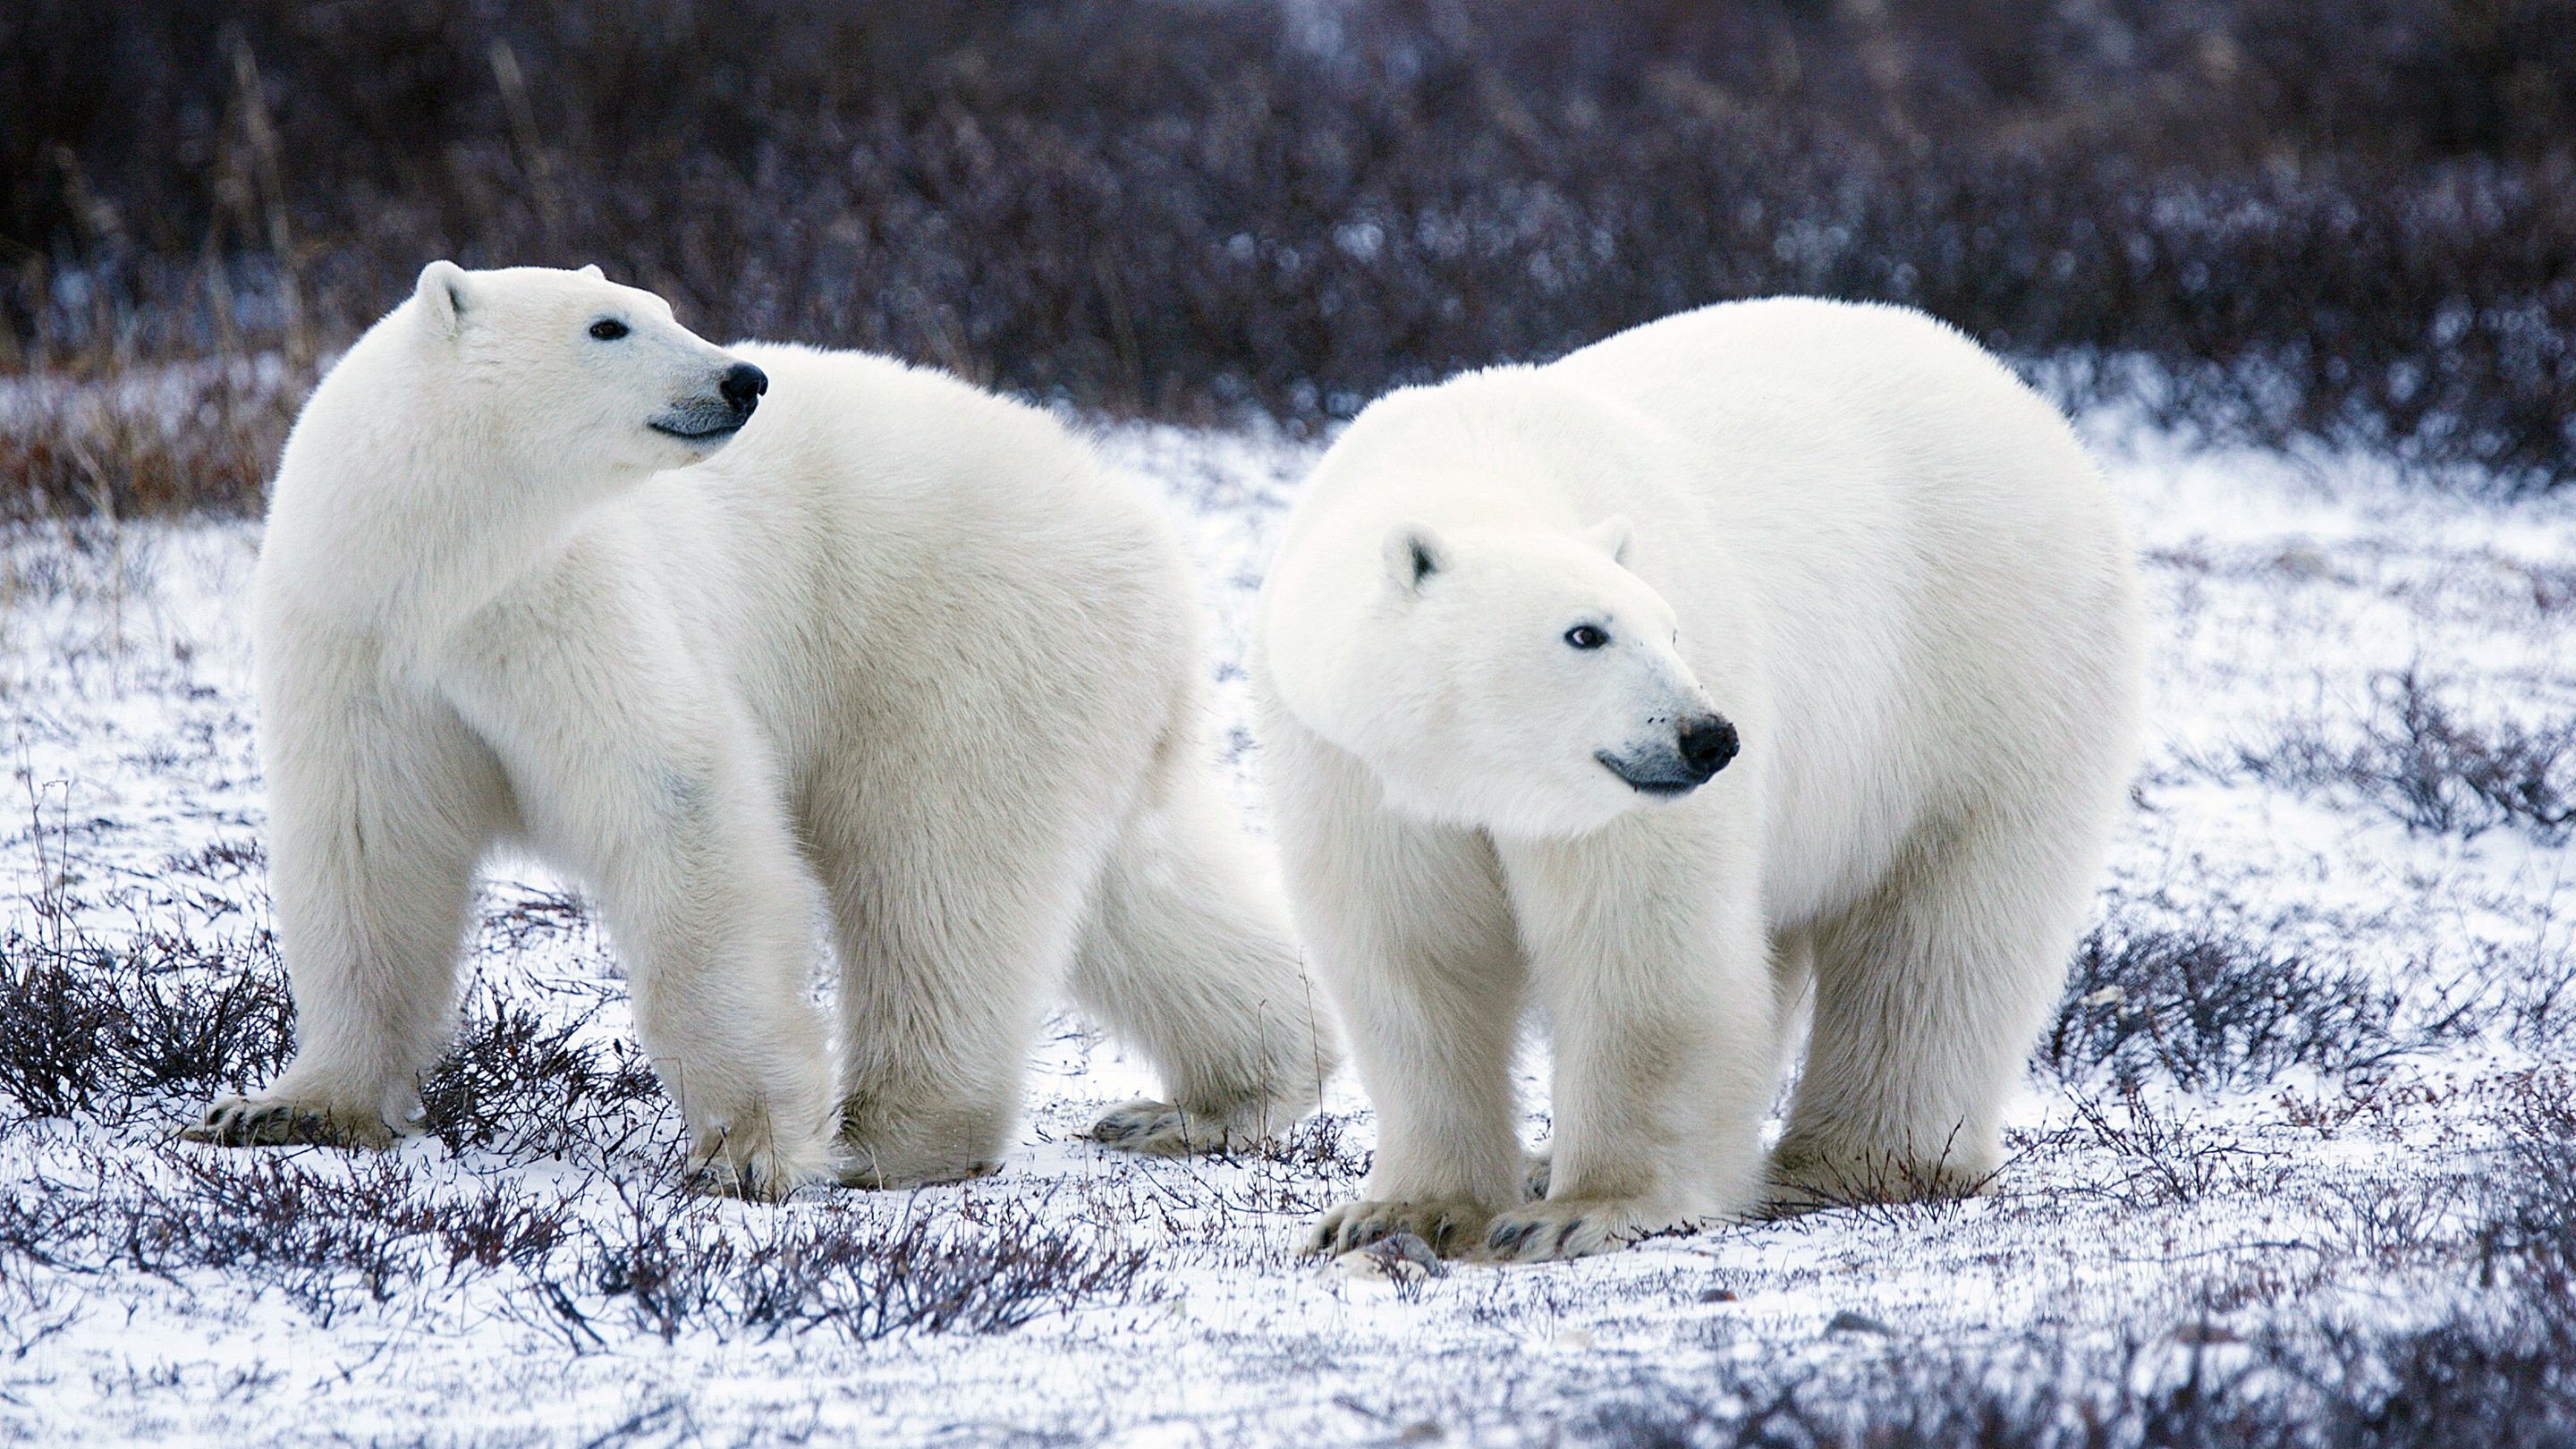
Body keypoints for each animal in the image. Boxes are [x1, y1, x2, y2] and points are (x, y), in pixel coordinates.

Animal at [185, 262, 1339, 1197]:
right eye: (610, 324)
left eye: (665, 307)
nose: (743, 379)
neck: (442, 564)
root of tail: (1152, 538)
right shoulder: (360, 639)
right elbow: (368, 849)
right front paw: (284, 1107)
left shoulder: (568, 602)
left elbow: (680, 806)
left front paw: (746, 1150)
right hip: (1077, 686)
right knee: (1130, 885)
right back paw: (1216, 1098)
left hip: (963, 641)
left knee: (936, 871)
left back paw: (896, 1135)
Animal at [1255, 297, 2144, 1261]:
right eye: (1586, 632)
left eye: (1670, 629)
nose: (1708, 738)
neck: (1472, 459)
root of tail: (2026, 400)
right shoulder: (1355, 768)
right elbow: (1412, 958)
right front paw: (1396, 1212)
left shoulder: (1618, 802)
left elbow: (1644, 951)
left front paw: (1582, 1210)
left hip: (1989, 668)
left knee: (1941, 934)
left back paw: (1854, 1162)